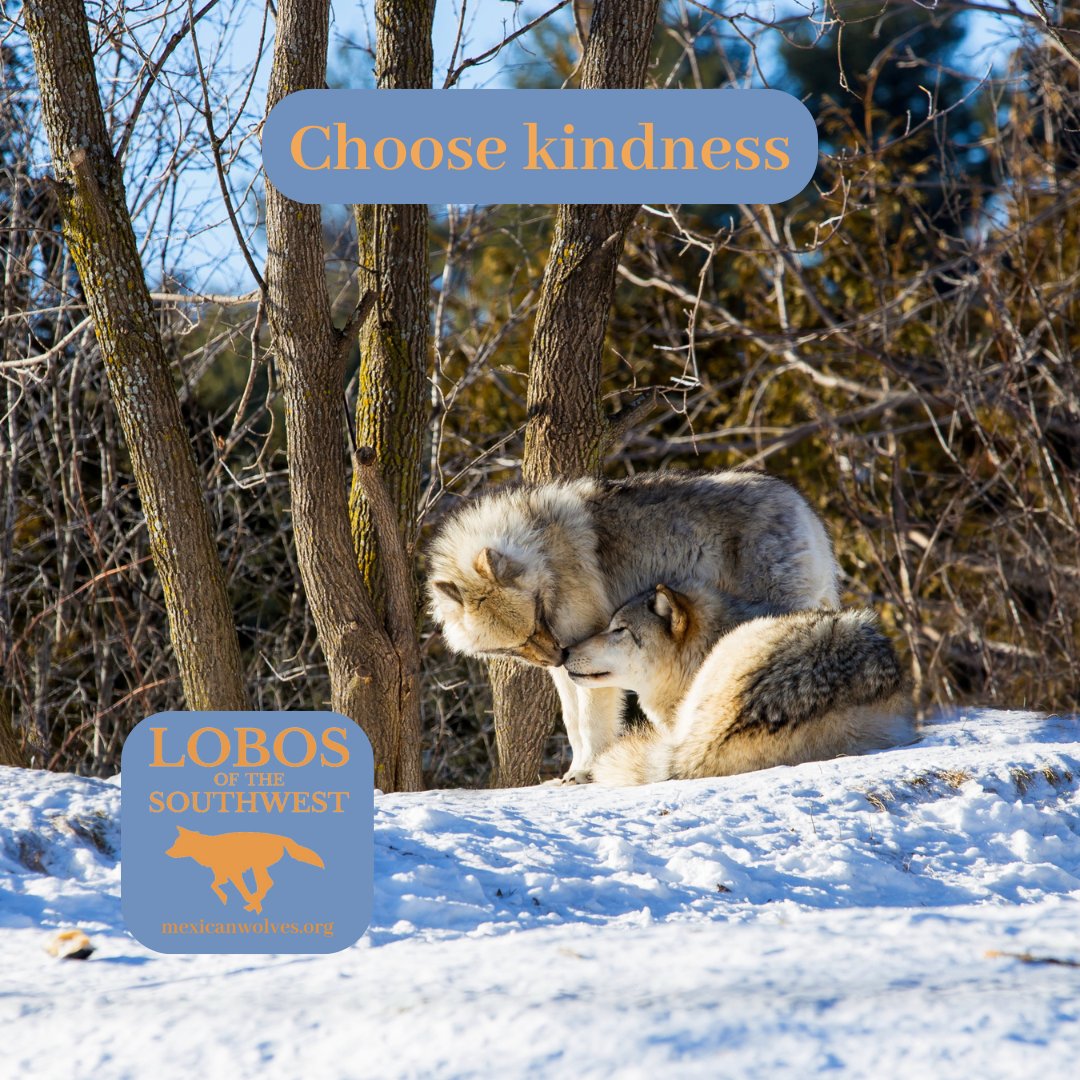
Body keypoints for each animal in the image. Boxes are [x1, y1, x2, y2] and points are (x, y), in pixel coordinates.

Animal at [165, 826, 324, 914]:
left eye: (177, 843)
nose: (167, 853)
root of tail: (281, 838)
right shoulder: (223, 875)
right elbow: (214, 885)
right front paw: (225, 899)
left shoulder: (235, 873)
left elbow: (243, 891)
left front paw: (251, 904)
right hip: (257, 868)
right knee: (267, 884)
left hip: (257, 867)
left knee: (266, 883)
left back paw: (252, 905)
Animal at [427, 470, 839, 782]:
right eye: (516, 644)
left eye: (538, 617)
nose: (557, 655)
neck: (543, 552)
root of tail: (800, 504)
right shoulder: (565, 669)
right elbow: (572, 723)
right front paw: (573, 771)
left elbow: (591, 725)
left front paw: (585, 774)